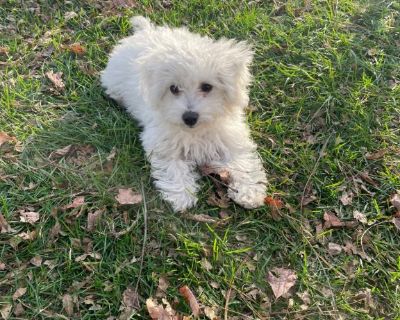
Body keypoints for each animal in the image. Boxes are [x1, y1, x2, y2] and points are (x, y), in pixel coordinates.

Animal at [101, 16, 268, 212]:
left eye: (207, 87)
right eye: (173, 88)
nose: (189, 117)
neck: (196, 131)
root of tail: (144, 31)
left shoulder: (231, 140)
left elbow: (242, 163)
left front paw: (249, 193)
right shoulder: (164, 144)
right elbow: (173, 168)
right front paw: (181, 195)